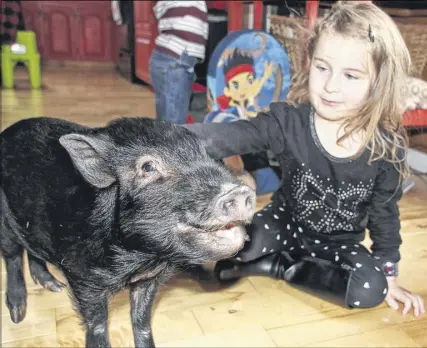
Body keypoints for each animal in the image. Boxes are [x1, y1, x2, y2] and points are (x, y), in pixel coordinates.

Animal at [0, 117, 254, 348]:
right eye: (148, 167)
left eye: (209, 156)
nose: (241, 192)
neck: (140, 259)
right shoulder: (83, 279)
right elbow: (97, 325)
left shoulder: (148, 279)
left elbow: (141, 322)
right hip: (5, 224)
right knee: (12, 257)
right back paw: (18, 314)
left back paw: (52, 286)